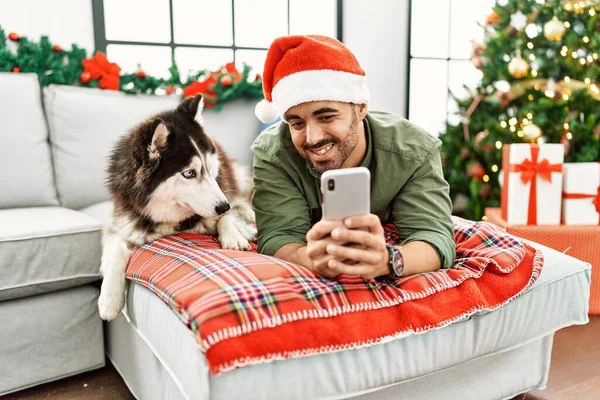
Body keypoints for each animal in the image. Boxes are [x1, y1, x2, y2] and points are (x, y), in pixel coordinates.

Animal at [98, 94, 255, 322]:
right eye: (189, 173)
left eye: (209, 168)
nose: (223, 206)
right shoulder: (122, 221)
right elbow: (115, 248)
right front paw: (109, 300)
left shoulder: (227, 194)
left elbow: (229, 216)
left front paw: (233, 235)